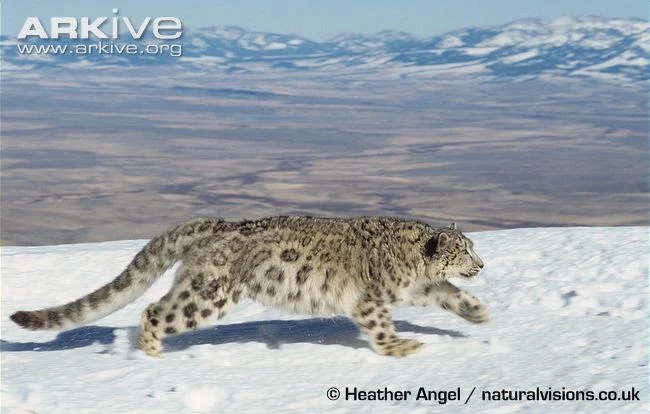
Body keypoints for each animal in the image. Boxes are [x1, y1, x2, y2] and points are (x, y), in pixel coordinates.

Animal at [10, 216, 488, 357]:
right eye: (464, 251)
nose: (482, 264)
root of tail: (217, 225)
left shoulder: (418, 289)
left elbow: (446, 294)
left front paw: (477, 311)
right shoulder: (372, 299)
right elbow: (381, 326)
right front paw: (401, 347)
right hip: (209, 295)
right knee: (154, 311)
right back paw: (151, 351)